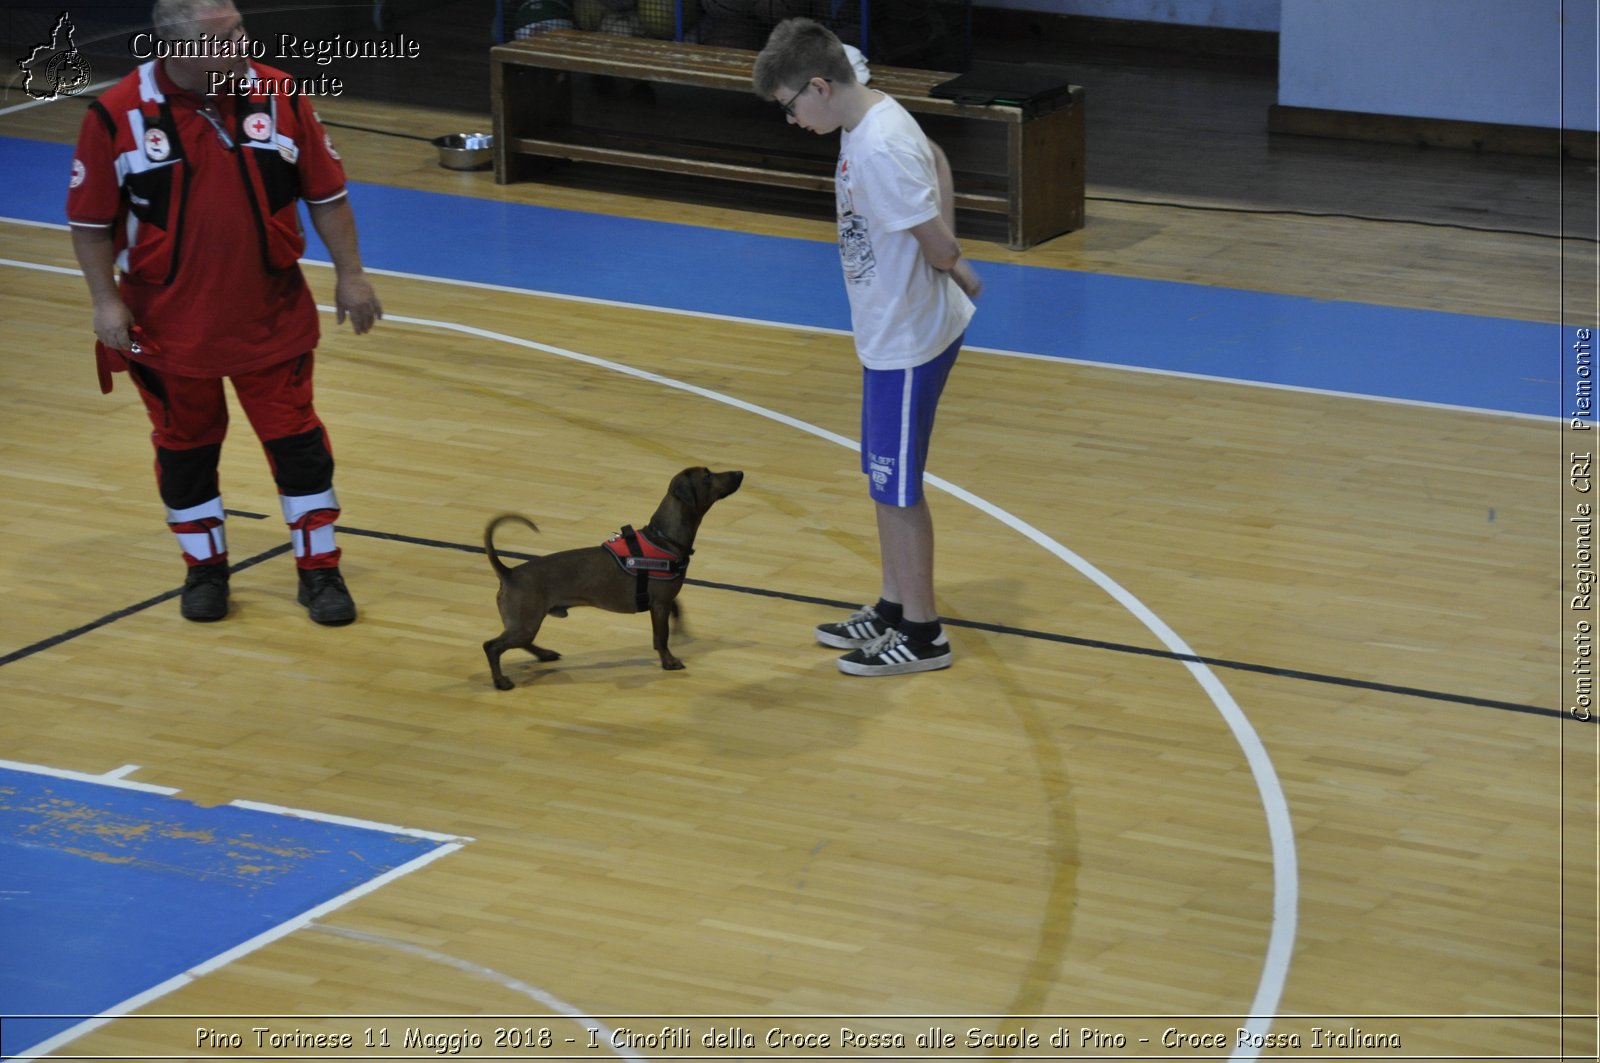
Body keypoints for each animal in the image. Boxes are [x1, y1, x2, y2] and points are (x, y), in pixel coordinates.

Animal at [480, 467, 742, 688]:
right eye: (707, 475)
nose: (740, 472)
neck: (664, 538)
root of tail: (509, 572)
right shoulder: (659, 604)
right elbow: (661, 636)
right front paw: (668, 661)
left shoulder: (665, 601)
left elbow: (678, 611)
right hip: (525, 624)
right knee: (492, 646)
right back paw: (501, 681)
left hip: (526, 624)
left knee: (517, 642)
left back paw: (544, 654)